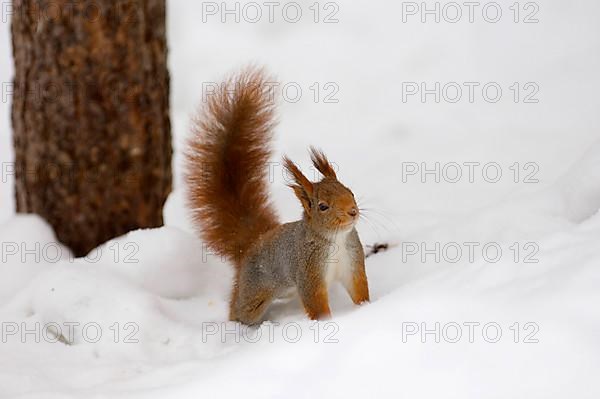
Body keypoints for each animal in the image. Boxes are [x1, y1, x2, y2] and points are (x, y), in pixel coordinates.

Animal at [185, 68, 368, 324]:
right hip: (254, 294)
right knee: (238, 309)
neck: (336, 239)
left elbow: (360, 290)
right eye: (322, 206)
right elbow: (317, 305)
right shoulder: (308, 273)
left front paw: (367, 308)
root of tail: (252, 243)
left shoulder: (352, 263)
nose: (352, 211)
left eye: (350, 191)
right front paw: (326, 323)